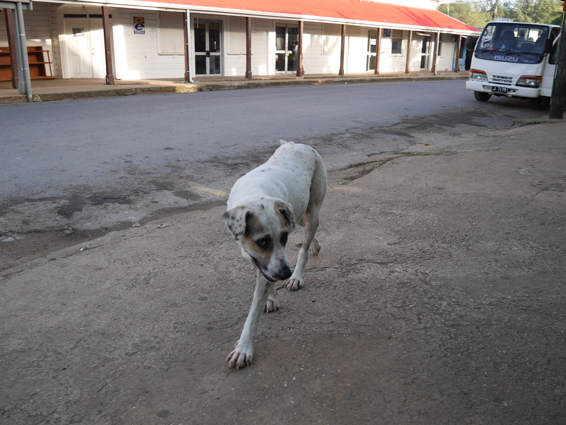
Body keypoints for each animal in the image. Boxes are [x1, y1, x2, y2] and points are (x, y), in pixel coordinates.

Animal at [223, 141, 327, 369]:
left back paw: (298, 275)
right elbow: (266, 278)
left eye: (284, 237)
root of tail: (296, 143)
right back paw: (313, 248)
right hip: (298, 213)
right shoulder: (257, 259)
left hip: (313, 209)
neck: (254, 193)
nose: (285, 273)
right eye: (262, 241)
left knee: (305, 244)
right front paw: (271, 298)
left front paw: (243, 348)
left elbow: (252, 315)